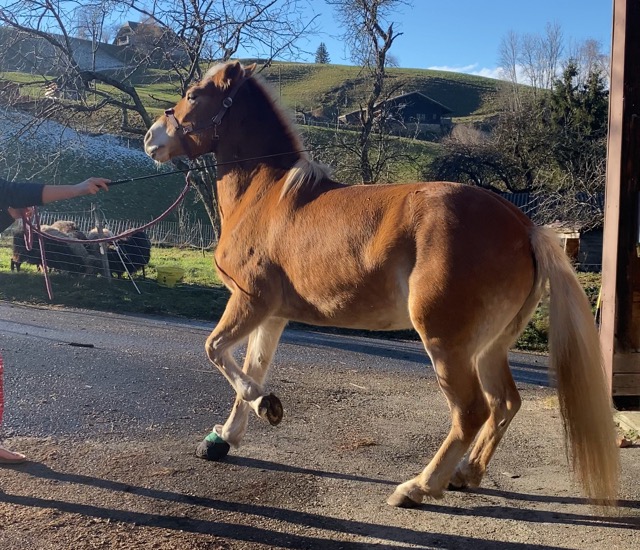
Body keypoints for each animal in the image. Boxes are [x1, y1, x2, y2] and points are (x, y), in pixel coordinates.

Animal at [142, 60, 616, 508]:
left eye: (193, 94)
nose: (151, 138)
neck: (266, 195)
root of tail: (524, 226)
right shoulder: (272, 315)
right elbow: (253, 366)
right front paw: (226, 436)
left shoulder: (250, 302)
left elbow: (215, 350)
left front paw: (263, 406)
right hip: (490, 346)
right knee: (504, 403)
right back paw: (465, 475)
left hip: (446, 343)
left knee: (471, 411)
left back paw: (419, 487)